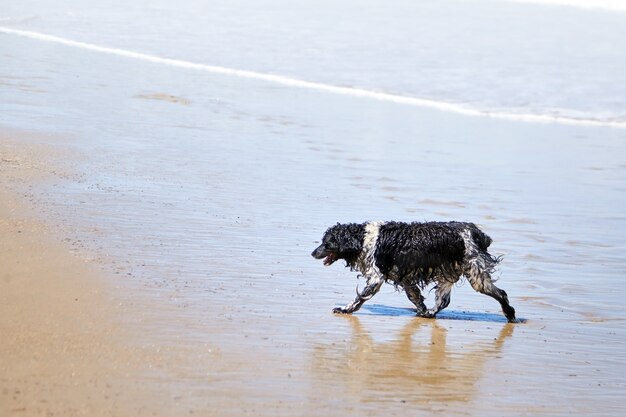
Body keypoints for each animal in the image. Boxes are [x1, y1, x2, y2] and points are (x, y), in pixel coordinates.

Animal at [310, 221, 516, 322]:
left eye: (326, 243)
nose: (312, 253)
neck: (363, 239)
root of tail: (477, 233)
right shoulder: (405, 278)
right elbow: (415, 296)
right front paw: (421, 309)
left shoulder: (376, 277)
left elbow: (359, 298)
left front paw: (345, 309)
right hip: (452, 273)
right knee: (443, 301)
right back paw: (429, 314)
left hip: (476, 274)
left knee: (501, 293)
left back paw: (510, 314)